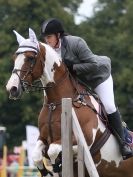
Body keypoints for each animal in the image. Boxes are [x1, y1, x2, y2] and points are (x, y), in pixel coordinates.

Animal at [5, 28, 133, 176]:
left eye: (30, 58)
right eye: (14, 58)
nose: (12, 89)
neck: (55, 103)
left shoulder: (84, 140)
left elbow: (53, 150)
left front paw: (56, 165)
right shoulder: (43, 137)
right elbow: (37, 154)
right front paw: (47, 171)